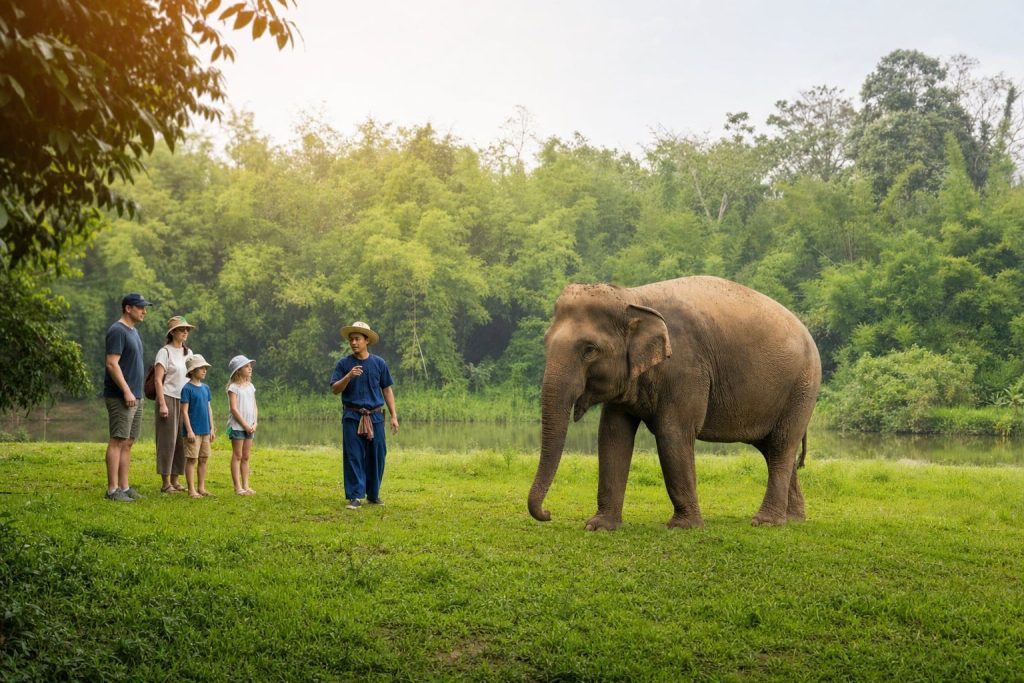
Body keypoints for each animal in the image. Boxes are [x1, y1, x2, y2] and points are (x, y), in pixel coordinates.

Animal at [527, 275, 821, 530]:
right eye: (545, 342)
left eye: (589, 350)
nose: (548, 513)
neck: (632, 297)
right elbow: (612, 435)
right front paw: (599, 526)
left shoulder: (685, 370)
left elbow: (673, 434)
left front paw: (684, 527)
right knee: (772, 449)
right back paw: (793, 519)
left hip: (802, 388)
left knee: (781, 445)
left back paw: (766, 522)